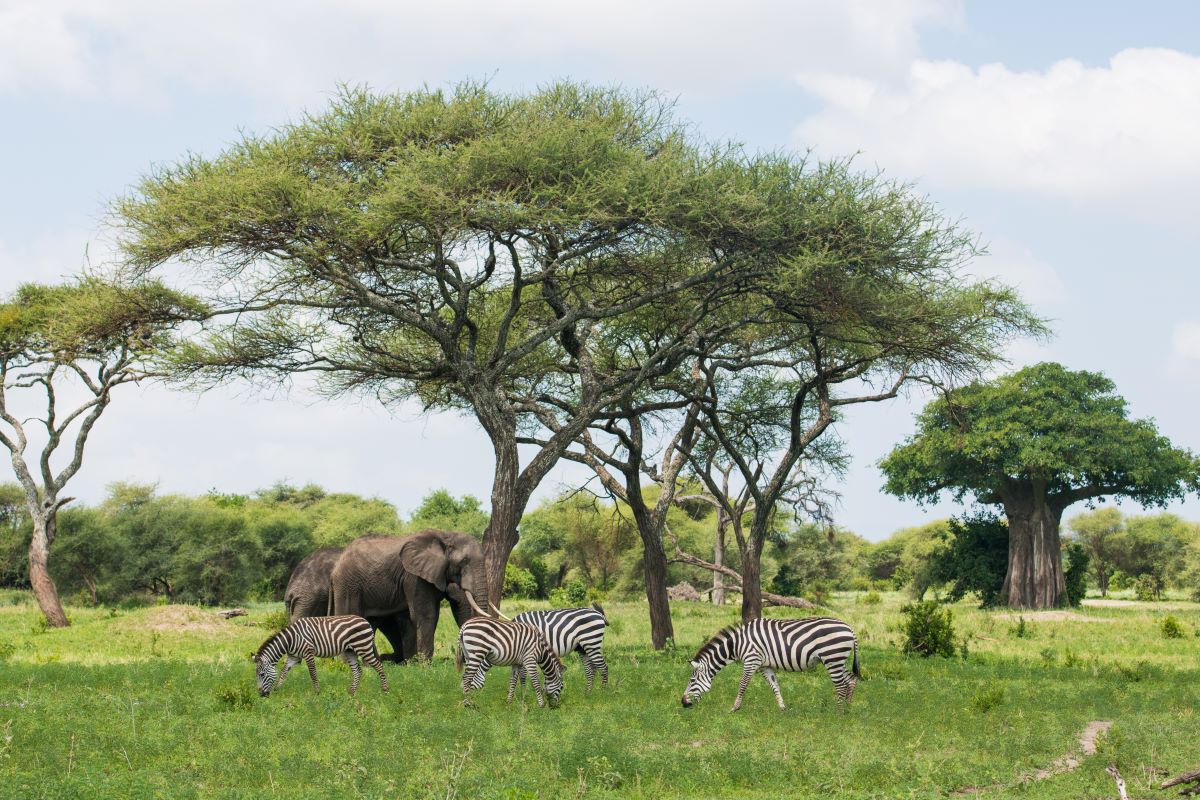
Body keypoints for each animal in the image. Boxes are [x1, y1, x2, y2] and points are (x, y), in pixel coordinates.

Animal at [253, 618, 388, 695]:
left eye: (262, 675)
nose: (261, 695)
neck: (291, 640)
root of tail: (365, 621)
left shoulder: (308, 653)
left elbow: (313, 673)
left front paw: (317, 692)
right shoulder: (293, 657)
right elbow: (283, 672)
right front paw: (277, 690)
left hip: (363, 647)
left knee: (379, 666)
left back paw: (385, 691)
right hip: (350, 651)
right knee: (358, 671)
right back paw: (351, 692)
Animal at [326, 532, 489, 662]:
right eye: (464, 561)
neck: (445, 535)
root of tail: (335, 568)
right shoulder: (414, 578)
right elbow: (426, 615)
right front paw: (425, 666)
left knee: (369, 624)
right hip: (348, 586)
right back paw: (347, 665)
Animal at [681, 618, 859, 710]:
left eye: (692, 681)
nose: (683, 703)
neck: (737, 645)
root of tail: (849, 627)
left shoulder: (751, 661)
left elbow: (742, 685)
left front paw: (734, 708)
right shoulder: (764, 666)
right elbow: (775, 686)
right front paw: (782, 708)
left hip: (832, 657)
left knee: (840, 685)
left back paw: (839, 712)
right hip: (836, 659)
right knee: (850, 679)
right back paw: (848, 708)